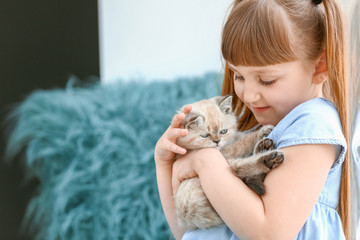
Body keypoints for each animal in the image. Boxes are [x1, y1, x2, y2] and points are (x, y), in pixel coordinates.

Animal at [174, 94, 284, 230]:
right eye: (205, 135)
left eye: (223, 131)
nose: (217, 141)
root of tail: (188, 216)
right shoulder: (225, 152)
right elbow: (243, 142)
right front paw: (262, 131)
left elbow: (239, 136)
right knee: (238, 168)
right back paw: (269, 158)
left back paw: (263, 148)